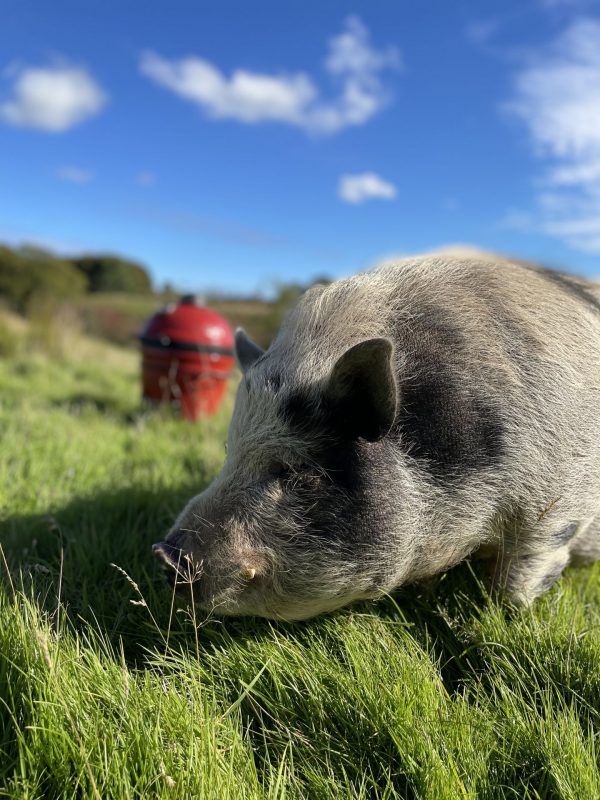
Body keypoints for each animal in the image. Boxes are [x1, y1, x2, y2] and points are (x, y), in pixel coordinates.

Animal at [151, 253, 600, 620]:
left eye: (293, 469)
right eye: (230, 451)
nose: (164, 555)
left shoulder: (552, 515)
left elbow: (519, 583)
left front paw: (502, 619)